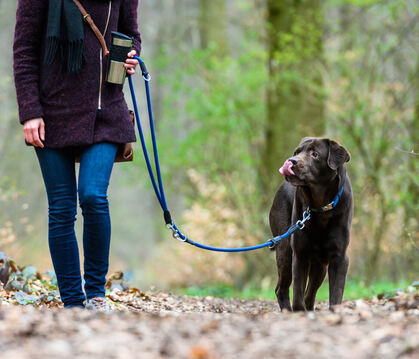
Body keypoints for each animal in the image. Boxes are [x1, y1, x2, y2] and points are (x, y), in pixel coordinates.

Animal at [270, 138, 354, 312]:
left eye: (315, 154)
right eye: (297, 152)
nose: (291, 161)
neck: (321, 206)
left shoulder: (339, 257)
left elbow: (336, 295)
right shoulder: (300, 254)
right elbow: (297, 295)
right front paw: (298, 311)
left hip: (320, 265)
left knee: (310, 293)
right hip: (285, 250)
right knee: (282, 289)